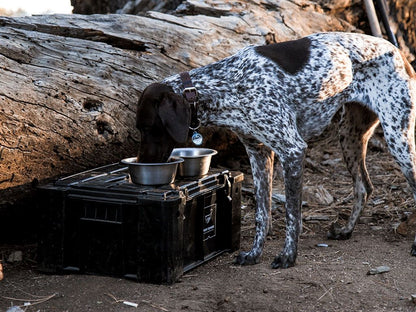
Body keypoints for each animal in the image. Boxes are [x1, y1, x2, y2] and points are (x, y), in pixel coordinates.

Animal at [136, 33, 416, 270]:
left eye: (147, 128)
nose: (142, 164)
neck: (226, 84)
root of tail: (398, 52)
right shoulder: (258, 153)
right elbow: (262, 214)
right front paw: (254, 253)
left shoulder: (292, 150)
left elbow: (292, 215)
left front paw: (287, 256)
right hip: (349, 137)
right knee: (363, 187)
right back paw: (346, 230)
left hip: (398, 139)